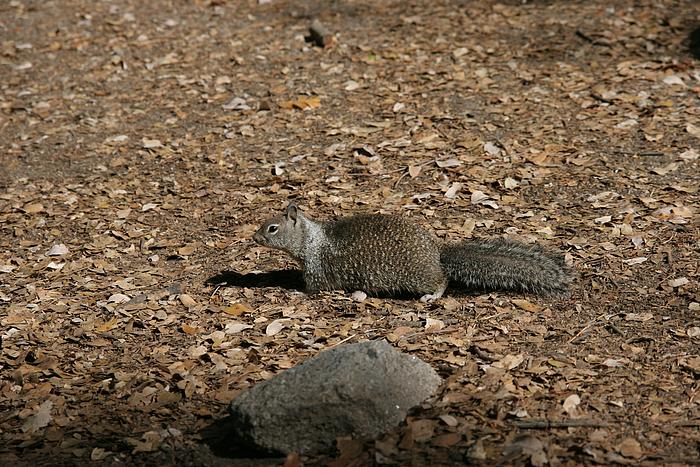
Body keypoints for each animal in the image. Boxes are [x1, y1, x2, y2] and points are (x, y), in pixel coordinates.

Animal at [252, 203, 573, 301]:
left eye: (272, 228)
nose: (254, 237)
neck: (310, 239)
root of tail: (436, 256)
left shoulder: (317, 269)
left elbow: (312, 288)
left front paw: (295, 292)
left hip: (416, 276)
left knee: (442, 280)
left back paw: (432, 295)